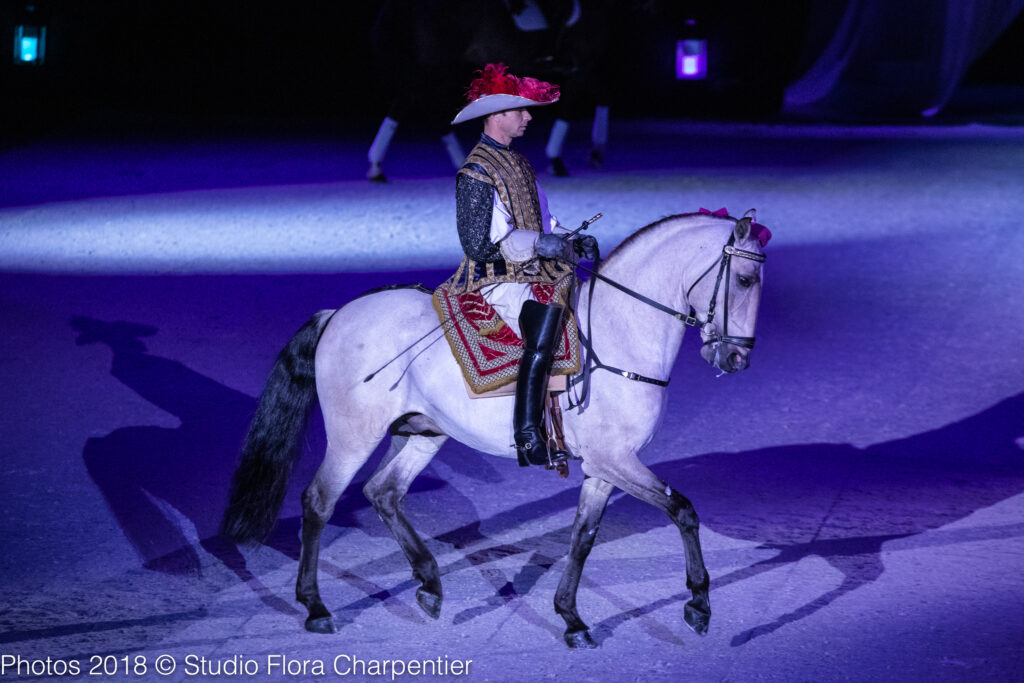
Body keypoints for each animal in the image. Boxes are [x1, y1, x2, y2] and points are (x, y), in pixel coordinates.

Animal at [224, 210, 770, 651]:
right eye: (744, 279)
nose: (737, 359)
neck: (621, 331)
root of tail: (338, 313)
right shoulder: (616, 460)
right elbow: (683, 511)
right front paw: (698, 603)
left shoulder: (604, 466)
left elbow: (583, 536)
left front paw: (571, 619)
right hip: (353, 435)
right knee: (319, 502)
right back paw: (316, 607)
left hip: (422, 432)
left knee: (384, 492)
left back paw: (429, 585)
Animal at [370, 0, 622, 180]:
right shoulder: (582, 65)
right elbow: (572, 107)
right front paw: (559, 159)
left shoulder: (584, 67)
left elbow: (603, 95)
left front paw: (596, 152)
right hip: (433, 65)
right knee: (407, 102)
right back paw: (377, 166)